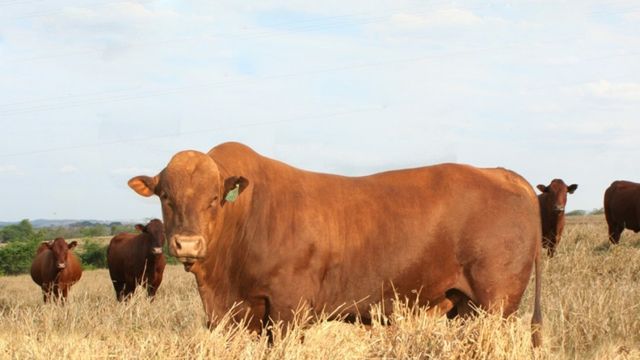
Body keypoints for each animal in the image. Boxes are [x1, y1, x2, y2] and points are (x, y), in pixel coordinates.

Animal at [127, 142, 544, 348]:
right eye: (166, 196)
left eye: (214, 198)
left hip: (496, 302)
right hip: (466, 306)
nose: (187, 244)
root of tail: (501, 173)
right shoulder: (235, 315)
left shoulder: (288, 309)